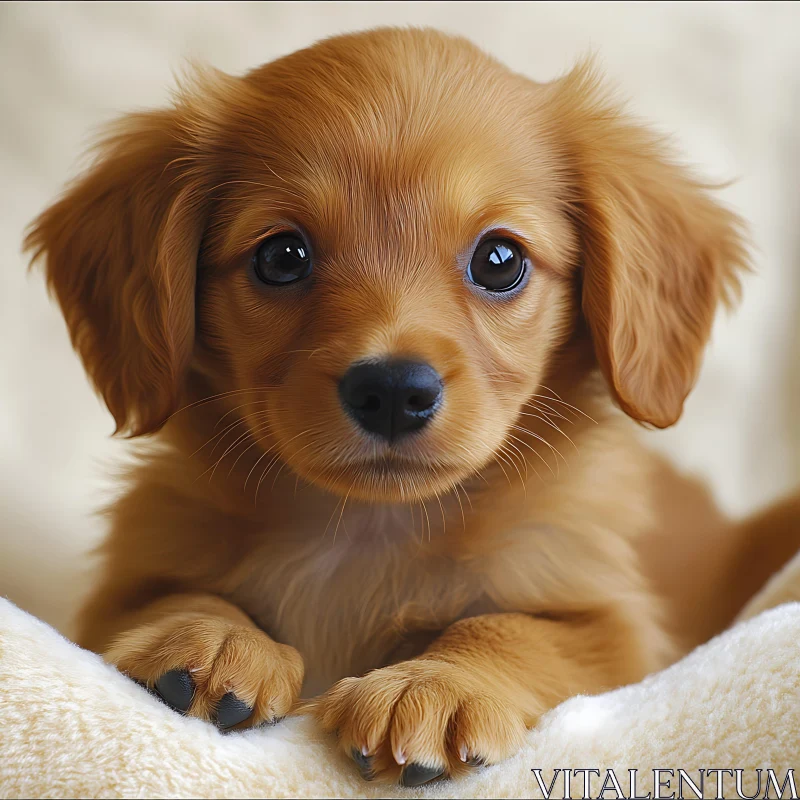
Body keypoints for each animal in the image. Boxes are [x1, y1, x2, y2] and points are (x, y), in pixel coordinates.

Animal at [25, 26, 768, 788]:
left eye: (500, 259)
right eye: (282, 256)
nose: (391, 391)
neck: (365, 532)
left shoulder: (616, 630)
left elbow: (512, 628)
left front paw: (437, 683)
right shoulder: (123, 584)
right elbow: (174, 595)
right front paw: (210, 636)